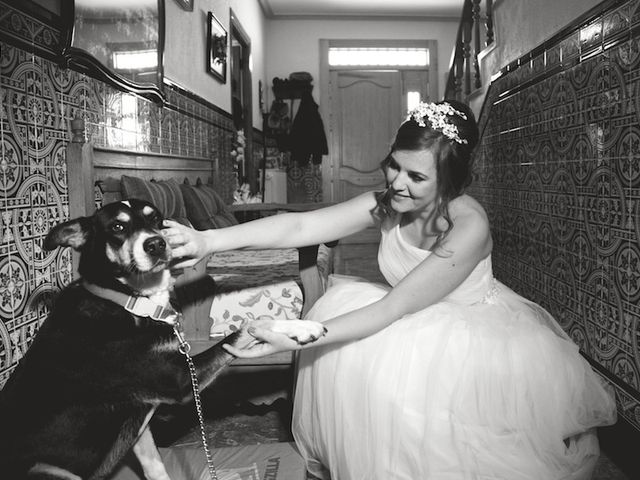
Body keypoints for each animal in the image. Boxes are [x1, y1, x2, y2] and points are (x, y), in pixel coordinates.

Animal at [0, 200, 328, 480]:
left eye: (154, 218)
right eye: (117, 227)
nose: (156, 244)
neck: (125, 301)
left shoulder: (140, 423)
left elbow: (156, 467)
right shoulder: (180, 379)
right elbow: (247, 326)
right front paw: (303, 326)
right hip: (49, 471)